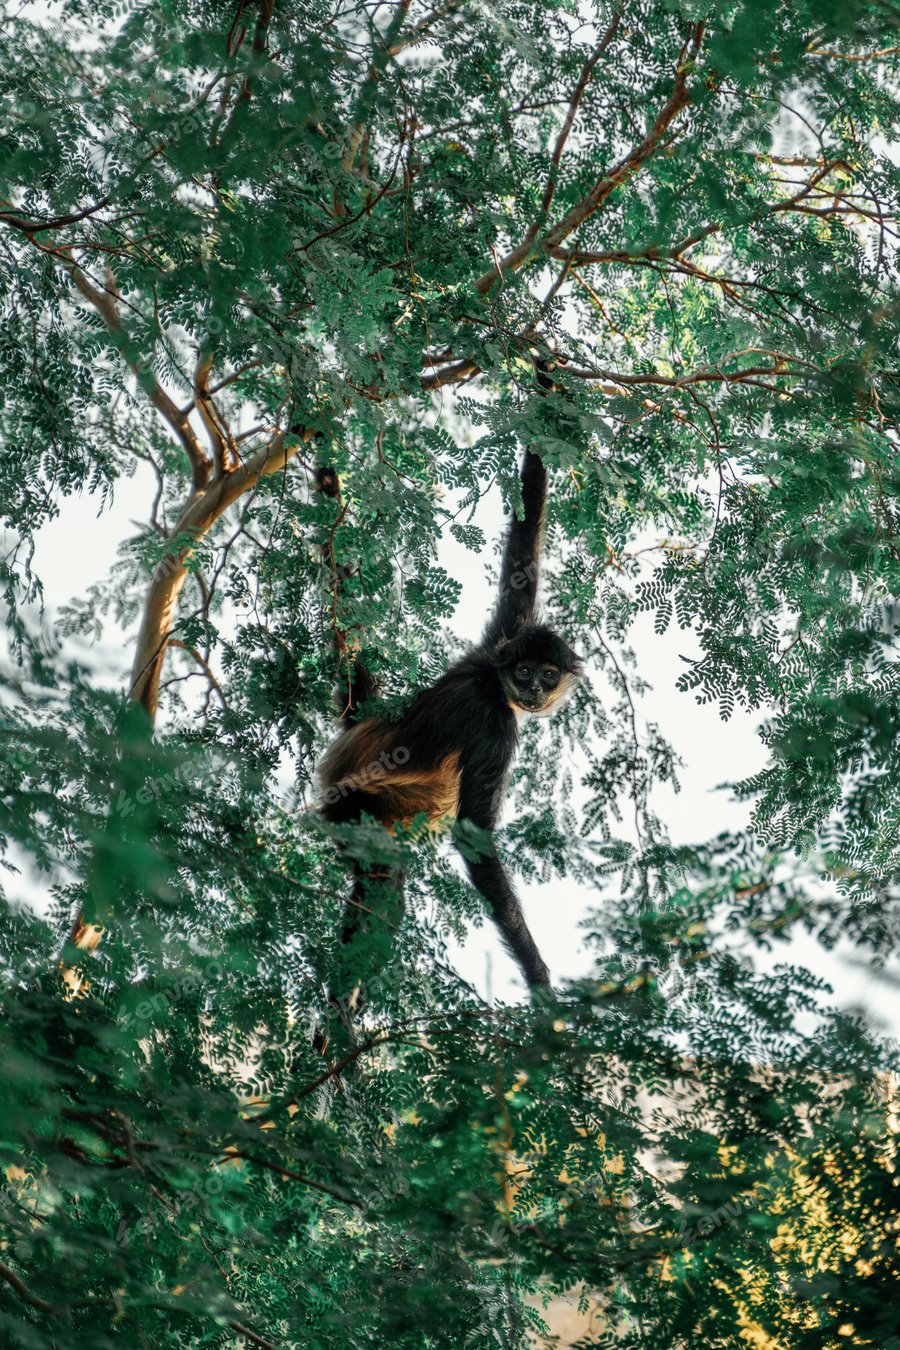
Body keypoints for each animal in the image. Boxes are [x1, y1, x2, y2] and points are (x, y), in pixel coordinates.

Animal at [317, 401, 581, 999]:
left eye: (547, 674)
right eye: (525, 674)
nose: (533, 690)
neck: (491, 680)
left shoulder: (499, 641)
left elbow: (523, 552)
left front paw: (549, 398)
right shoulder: (494, 721)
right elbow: (473, 839)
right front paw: (540, 984)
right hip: (348, 805)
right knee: (384, 880)